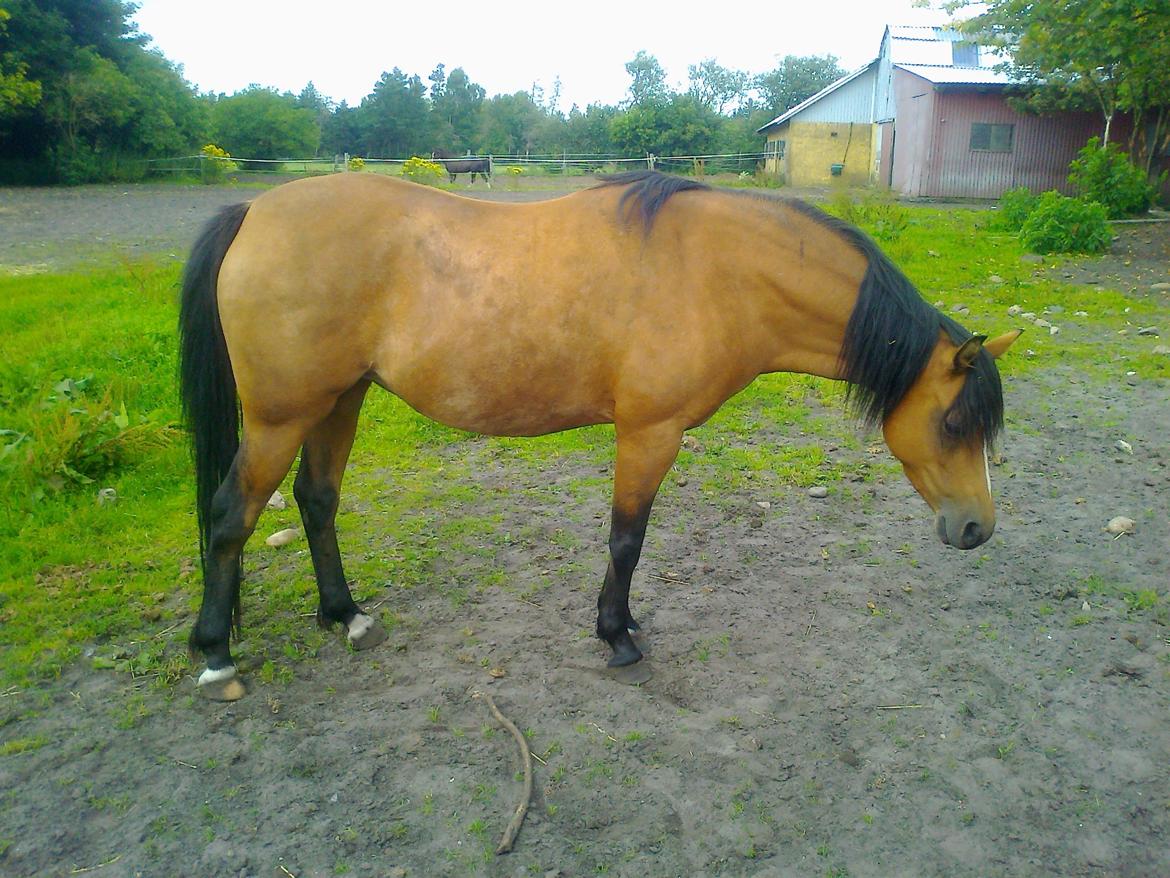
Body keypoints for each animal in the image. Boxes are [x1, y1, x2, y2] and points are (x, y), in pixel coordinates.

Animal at [178, 170, 1020, 701]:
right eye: (954, 421)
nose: (977, 528)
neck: (721, 273)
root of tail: (254, 212)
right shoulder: (650, 433)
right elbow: (626, 539)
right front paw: (618, 637)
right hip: (281, 417)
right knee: (230, 517)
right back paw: (216, 657)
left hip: (338, 400)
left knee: (316, 501)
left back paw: (346, 615)